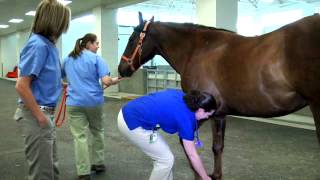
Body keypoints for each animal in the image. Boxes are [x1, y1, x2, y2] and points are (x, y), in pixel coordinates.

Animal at [117, 11, 320, 179]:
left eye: (132, 39)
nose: (121, 69)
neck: (197, 49)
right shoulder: (219, 114)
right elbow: (217, 147)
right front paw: (215, 175)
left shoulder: (201, 111)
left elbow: (186, 143)